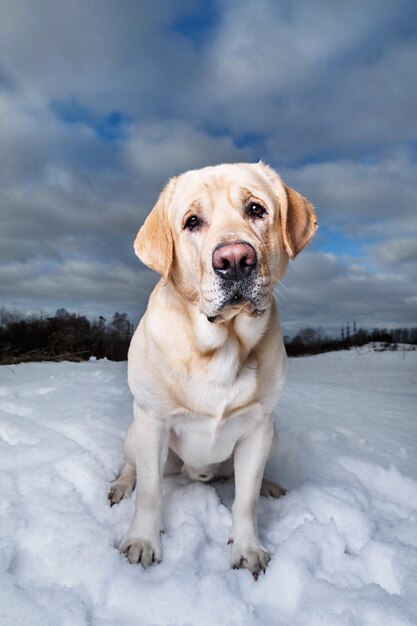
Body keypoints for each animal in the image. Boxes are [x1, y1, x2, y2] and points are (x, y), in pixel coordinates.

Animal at [107, 160, 316, 576]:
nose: (235, 260)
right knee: (135, 468)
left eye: (256, 209)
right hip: (134, 432)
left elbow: (245, 499)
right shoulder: (152, 421)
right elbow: (150, 493)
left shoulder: (258, 428)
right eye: (192, 221)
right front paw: (143, 542)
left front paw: (248, 548)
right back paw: (122, 485)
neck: (222, 346)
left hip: (273, 437)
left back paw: (270, 486)